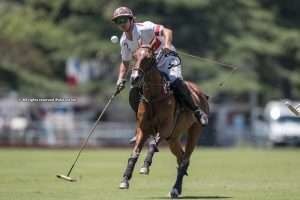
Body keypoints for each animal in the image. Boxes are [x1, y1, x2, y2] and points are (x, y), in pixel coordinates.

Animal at [119, 45, 209, 198]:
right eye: (134, 56)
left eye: (149, 58)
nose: (135, 78)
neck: (154, 96)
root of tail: (201, 93)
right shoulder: (143, 130)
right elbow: (134, 153)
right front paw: (125, 180)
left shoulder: (165, 128)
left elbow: (152, 145)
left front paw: (145, 166)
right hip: (173, 138)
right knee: (181, 158)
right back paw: (177, 189)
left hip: (194, 131)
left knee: (185, 159)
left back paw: (175, 189)